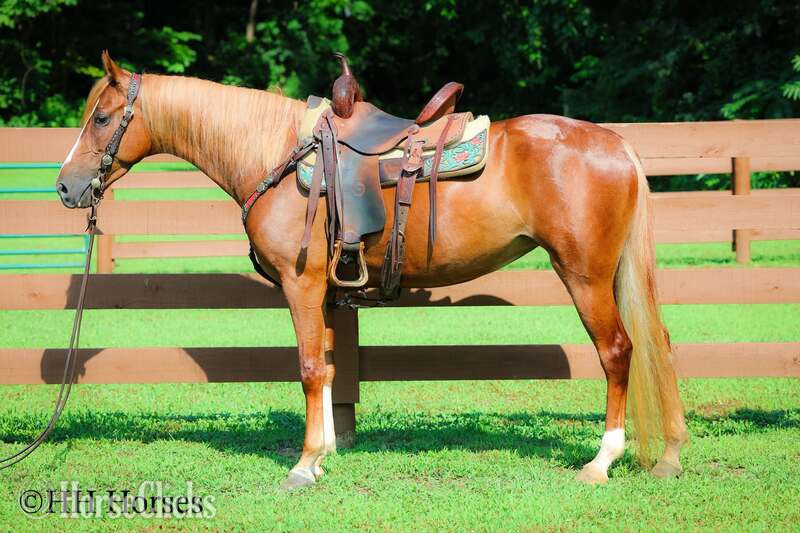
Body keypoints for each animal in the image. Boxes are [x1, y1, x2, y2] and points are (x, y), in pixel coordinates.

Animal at [56, 52, 688, 489]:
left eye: (103, 118)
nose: (65, 187)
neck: (276, 154)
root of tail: (615, 143)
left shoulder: (302, 285)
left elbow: (310, 368)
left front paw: (305, 466)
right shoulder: (326, 291)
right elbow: (331, 368)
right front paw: (324, 454)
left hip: (584, 276)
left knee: (618, 351)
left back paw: (602, 461)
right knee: (659, 342)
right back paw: (672, 453)